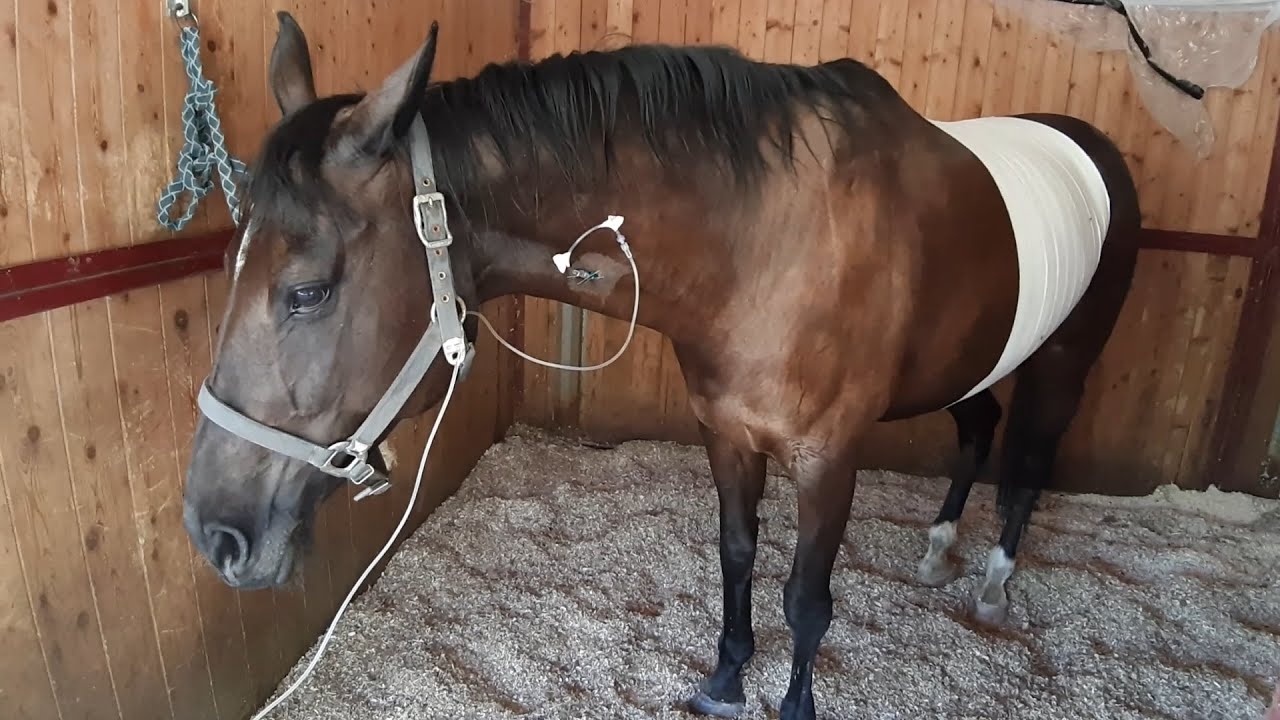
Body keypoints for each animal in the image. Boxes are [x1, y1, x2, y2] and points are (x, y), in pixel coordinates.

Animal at [181, 13, 1139, 720]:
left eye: (306, 291)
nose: (214, 533)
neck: (765, 243)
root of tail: (1095, 146)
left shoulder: (830, 457)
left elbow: (806, 597)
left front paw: (792, 703)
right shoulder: (727, 433)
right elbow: (737, 556)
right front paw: (724, 683)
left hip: (1063, 364)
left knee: (1029, 464)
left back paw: (995, 584)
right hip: (969, 362)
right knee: (979, 431)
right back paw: (940, 551)